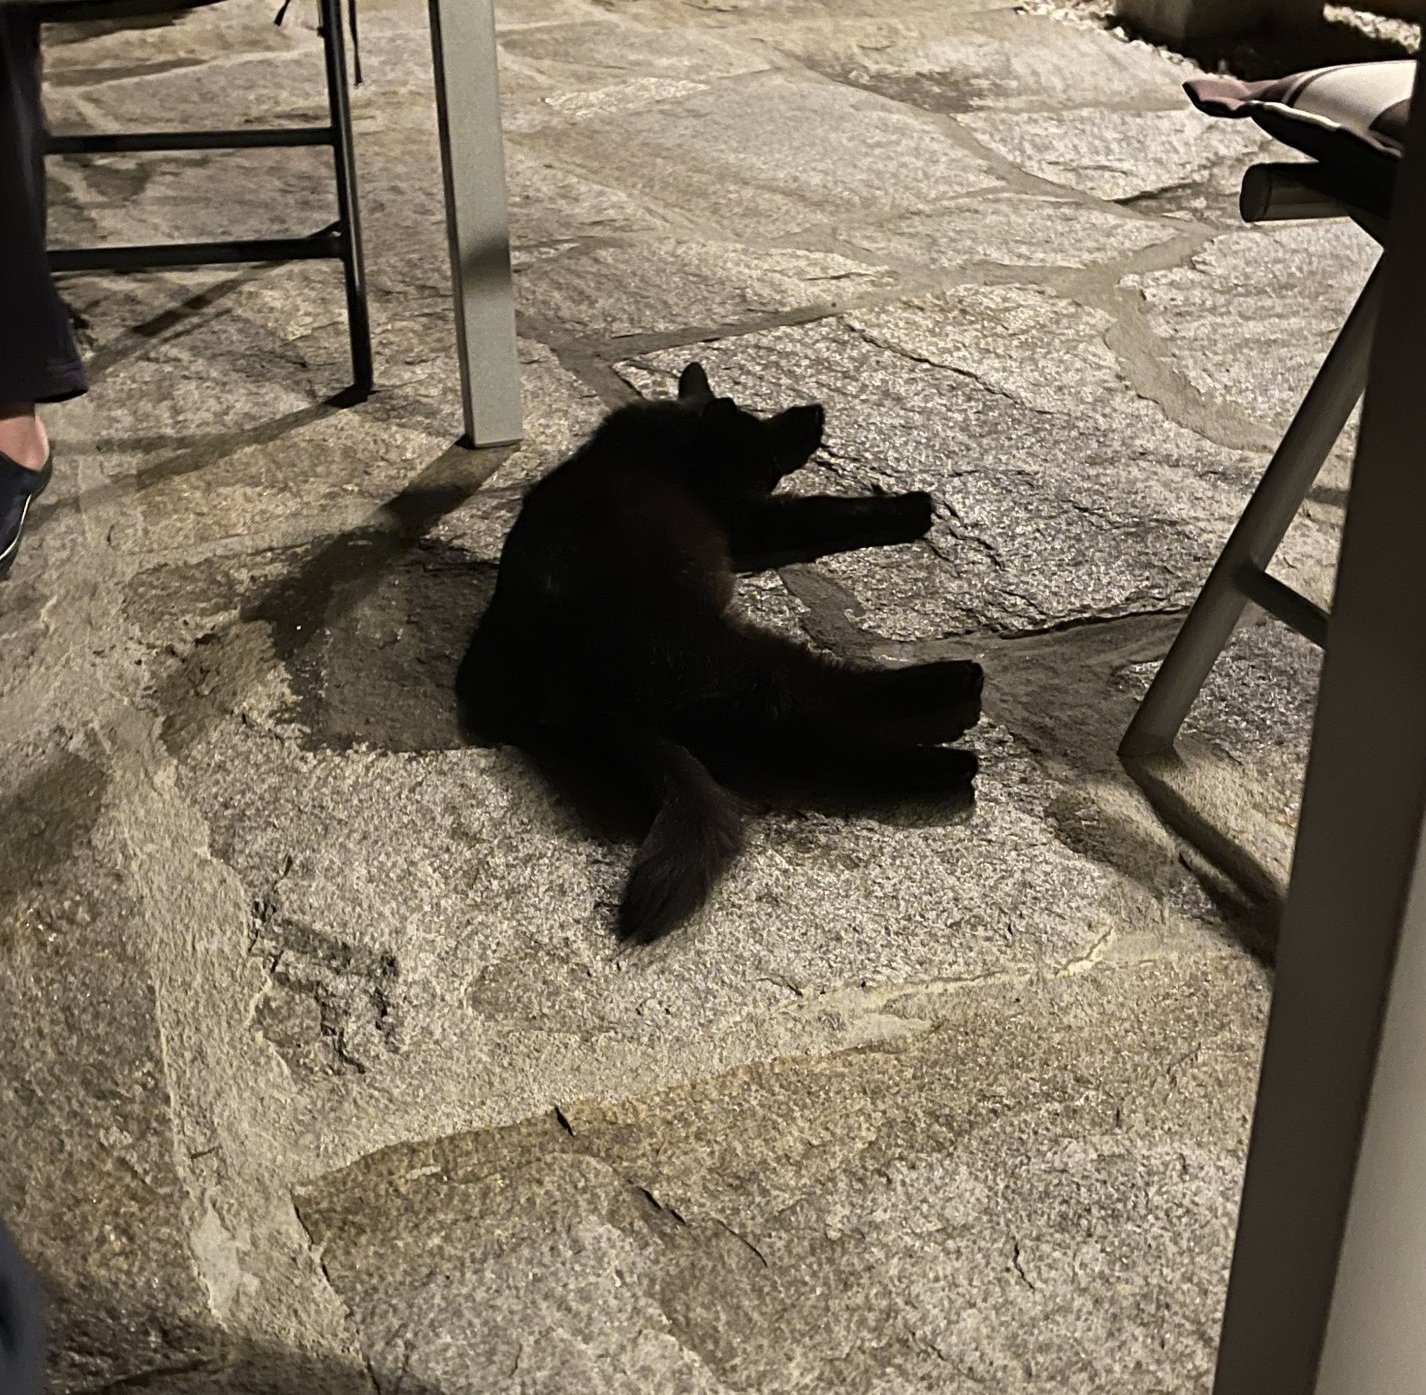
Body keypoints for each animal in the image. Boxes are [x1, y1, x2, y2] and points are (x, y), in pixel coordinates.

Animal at [457, 362, 983, 945]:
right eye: (762, 459)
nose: (815, 418)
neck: (674, 435)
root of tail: (560, 698)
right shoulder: (750, 518)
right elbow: (822, 508)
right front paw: (911, 505)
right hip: (734, 653)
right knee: (820, 709)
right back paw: (954, 716)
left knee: (792, 743)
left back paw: (945, 754)